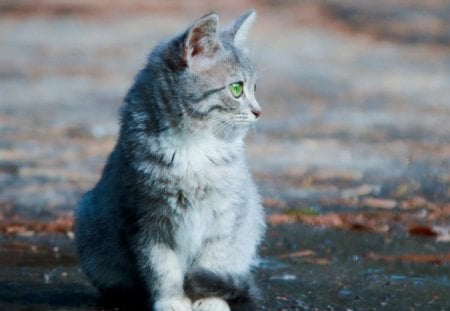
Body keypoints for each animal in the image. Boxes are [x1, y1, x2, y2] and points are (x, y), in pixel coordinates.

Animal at [75, 9, 266, 311]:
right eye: (237, 89)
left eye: (255, 88)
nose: (258, 111)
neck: (195, 147)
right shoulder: (145, 221)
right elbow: (161, 268)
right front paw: (171, 300)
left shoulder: (226, 217)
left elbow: (214, 260)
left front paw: (208, 300)